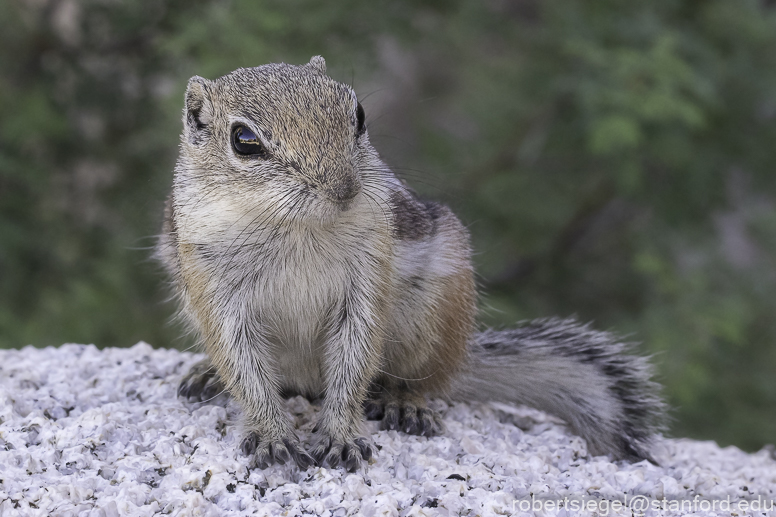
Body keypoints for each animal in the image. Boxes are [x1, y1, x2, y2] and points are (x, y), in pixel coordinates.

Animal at [158, 54, 668, 470]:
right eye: (243, 140)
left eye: (358, 114)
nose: (344, 188)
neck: (296, 229)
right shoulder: (215, 290)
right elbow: (243, 368)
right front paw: (271, 432)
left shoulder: (367, 280)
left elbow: (355, 359)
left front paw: (341, 435)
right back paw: (207, 374)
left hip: (434, 315)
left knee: (423, 377)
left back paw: (406, 401)